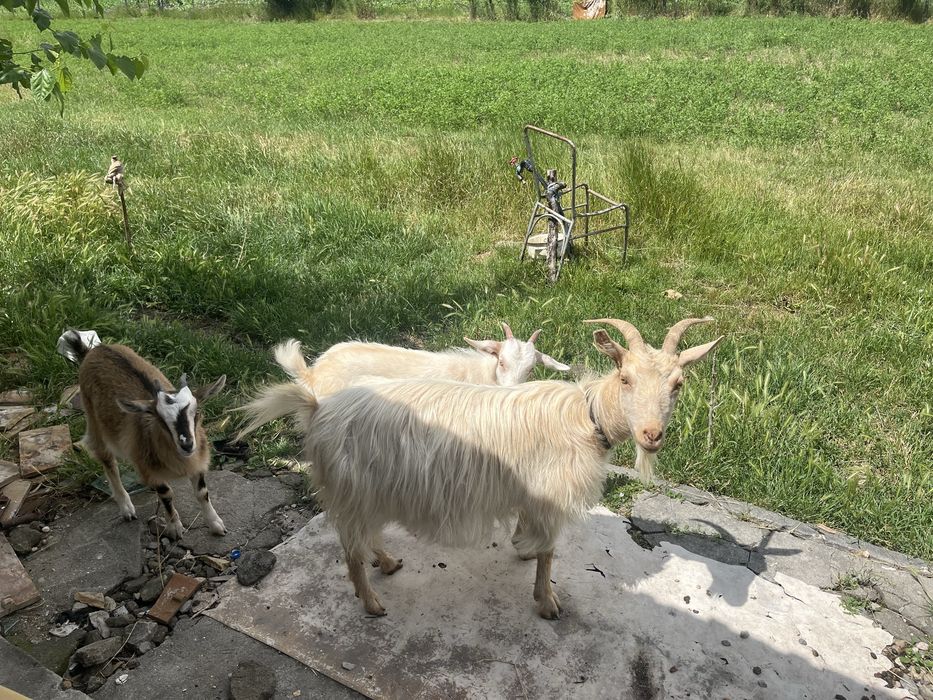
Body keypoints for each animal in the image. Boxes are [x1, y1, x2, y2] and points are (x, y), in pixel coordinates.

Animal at [58, 330, 227, 540]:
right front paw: (175, 528)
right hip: (94, 421)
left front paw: (216, 525)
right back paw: (126, 508)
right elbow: (166, 494)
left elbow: (202, 492)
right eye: (160, 420)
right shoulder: (149, 468)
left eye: (196, 413)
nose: (187, 444)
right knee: (107, 461)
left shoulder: (197, 463)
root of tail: (93, 350)